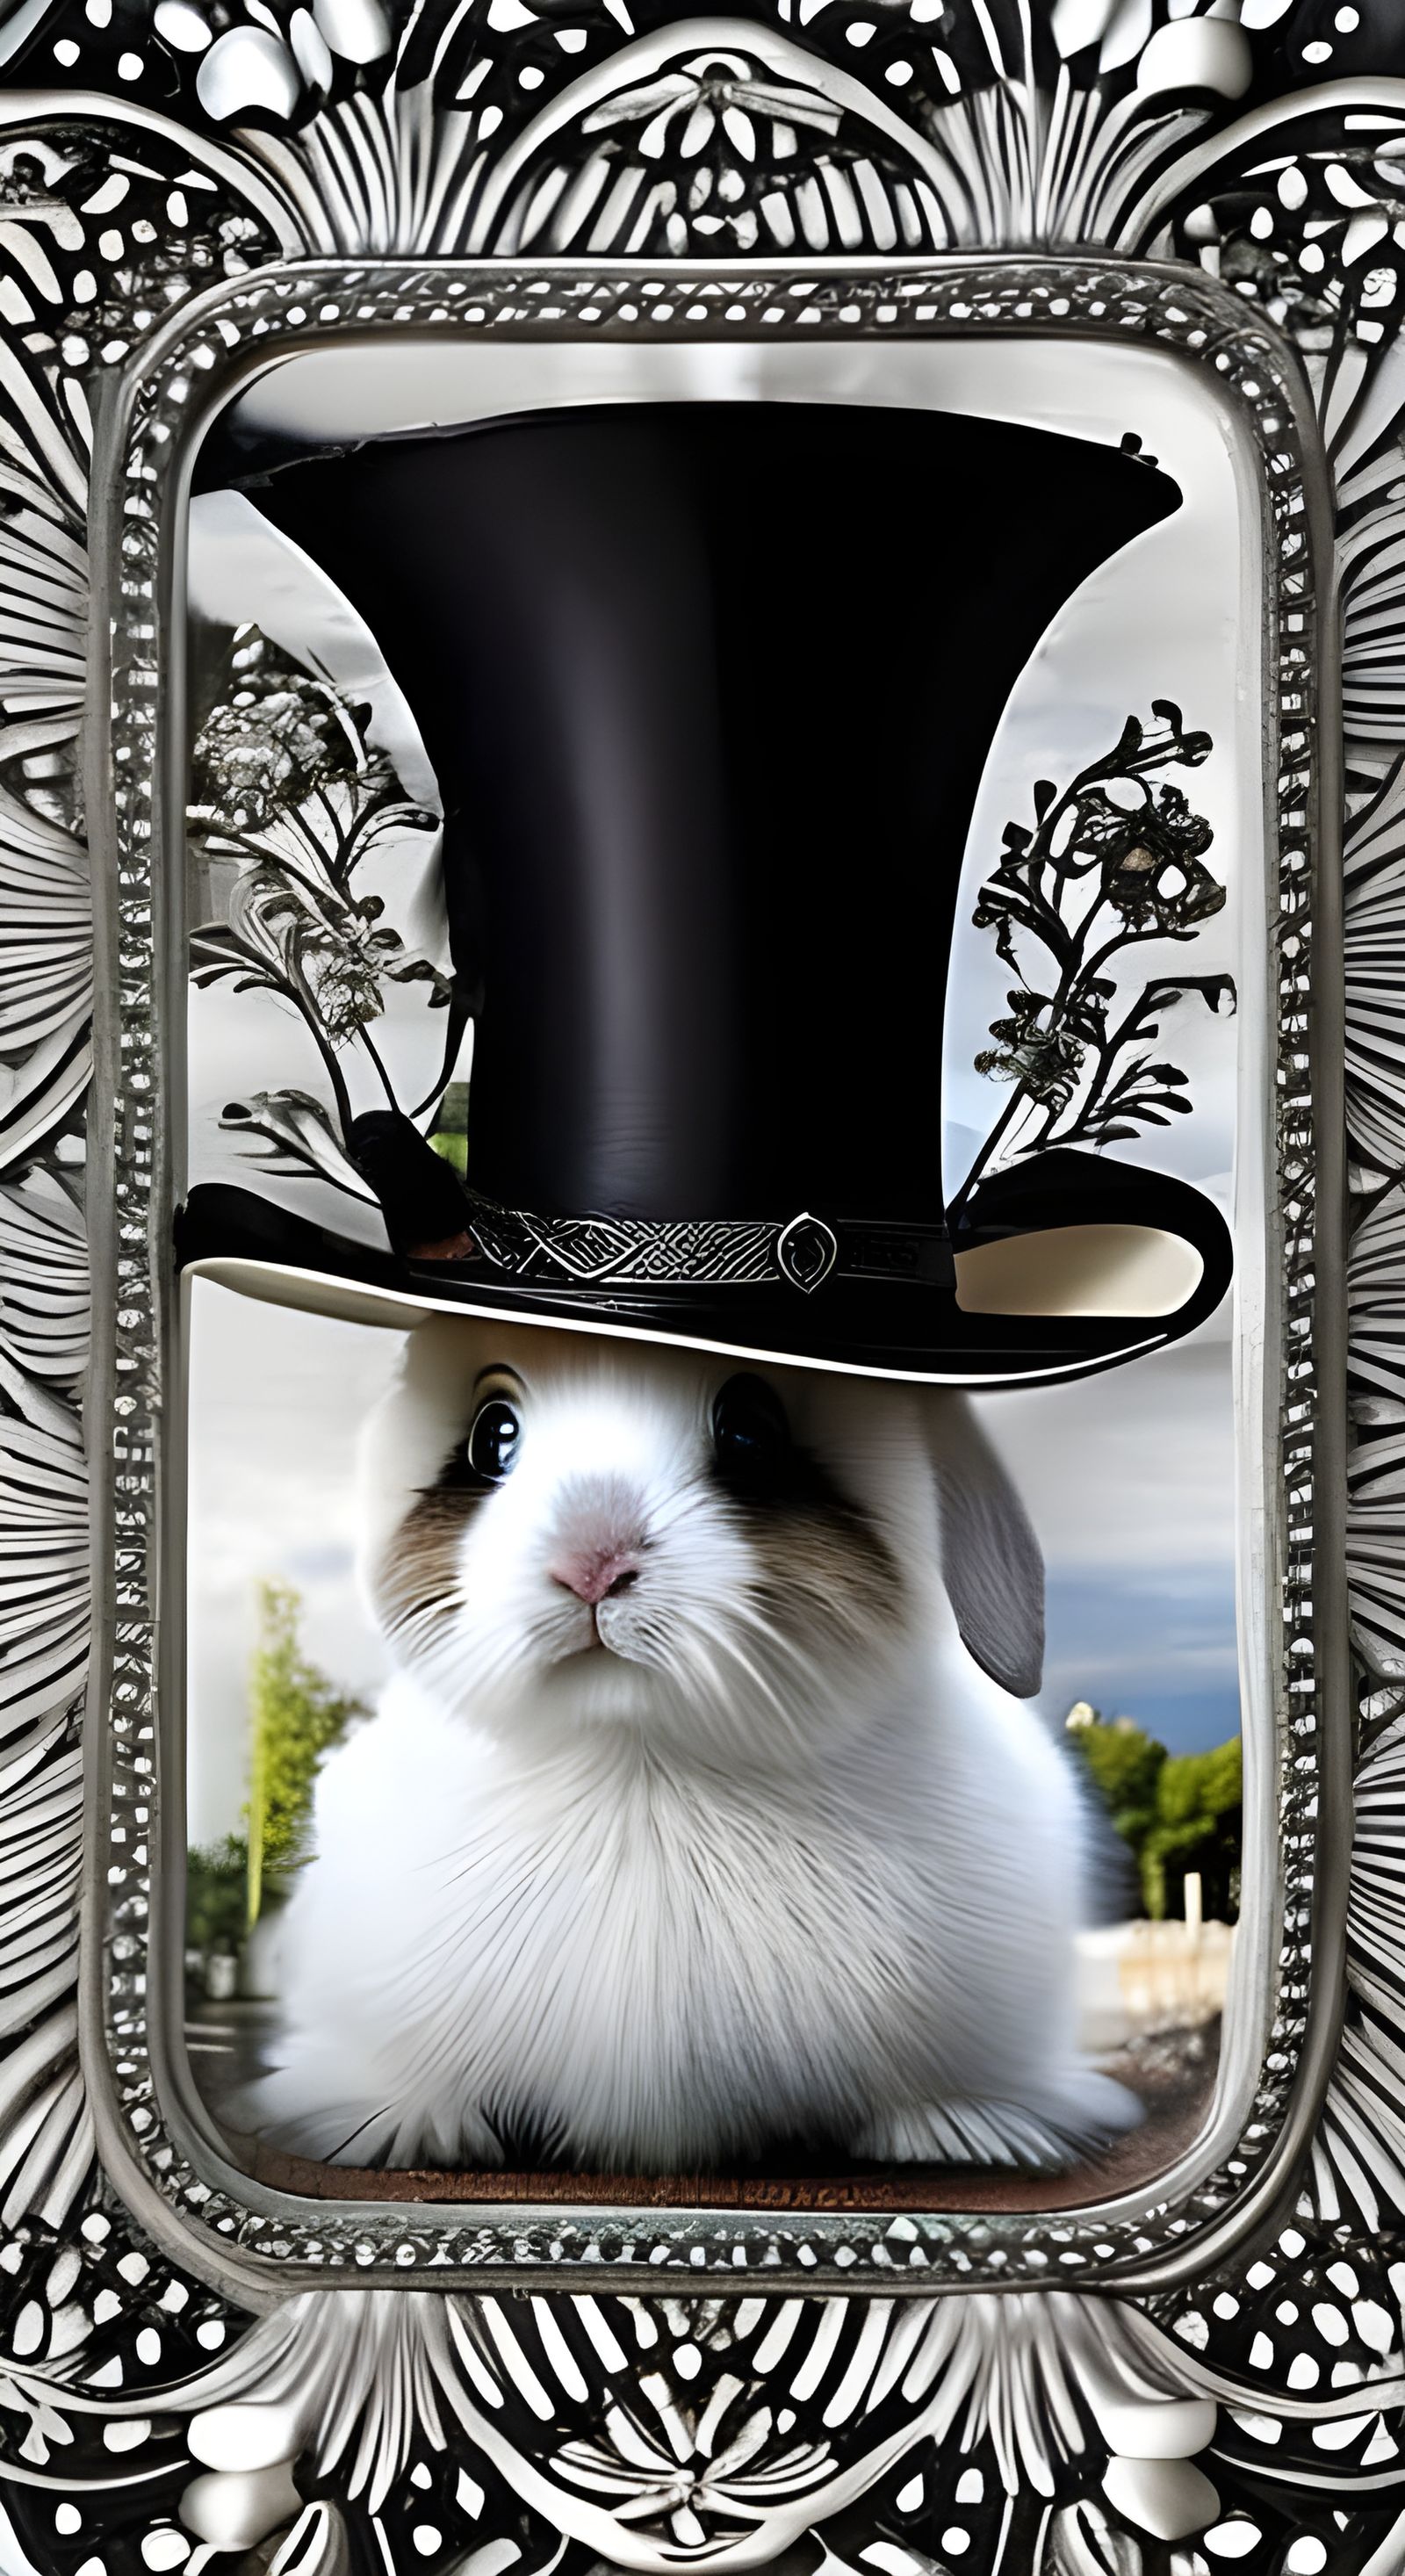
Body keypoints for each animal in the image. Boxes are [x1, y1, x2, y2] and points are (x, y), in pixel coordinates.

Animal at [235, 1316, 1139, 2175]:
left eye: (751, 1428)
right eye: (493, 1432)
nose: (591, 1561)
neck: (641, 1764)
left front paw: (963, 2127)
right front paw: (408, 2127)